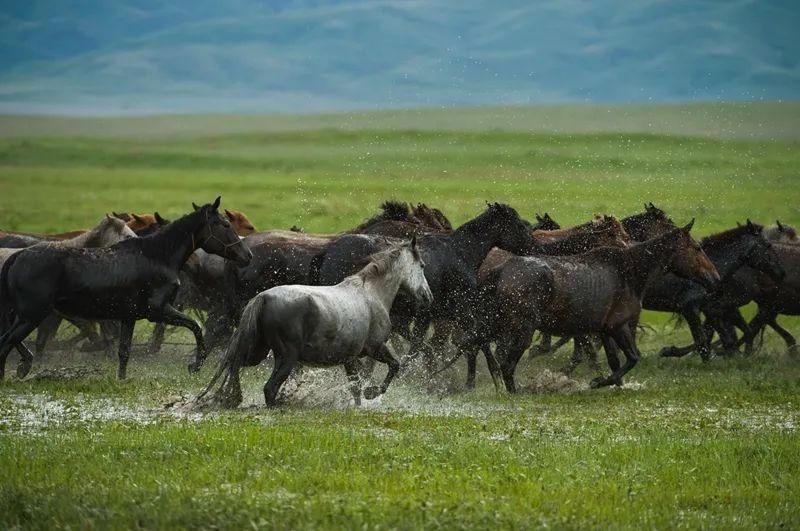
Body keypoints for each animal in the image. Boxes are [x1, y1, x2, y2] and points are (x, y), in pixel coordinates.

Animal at [0, 197, 250, 380]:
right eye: (225, 225)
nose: (247, 255)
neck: (158, 256)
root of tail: (17, 257)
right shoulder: (157, 311)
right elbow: (196, 327)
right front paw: (195, 365)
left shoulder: (129, 316)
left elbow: (124, 352)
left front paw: (121, 379)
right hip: (32, 315)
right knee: (6, 342)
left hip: (25, 315)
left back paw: (25, 365)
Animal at [195, 239, 432, 410]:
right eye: (421, 265)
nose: (428, 296)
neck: (371, 294)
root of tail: (263, 298)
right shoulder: (375, 348)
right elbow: (395, 365)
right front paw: (371, 393)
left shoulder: (350, 358)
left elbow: (355, 388)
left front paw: (358, 404)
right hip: (287, 357)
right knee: (269, 388)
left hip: (257, 353)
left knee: (235, 366)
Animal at [462, 218, 720, 392]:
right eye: (697, 248)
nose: (715, 278)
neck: (631, 271)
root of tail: (500, 271)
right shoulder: (618, 326)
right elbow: (632, 357)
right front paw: (598, 382)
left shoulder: (605, 329)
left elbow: (615, 360)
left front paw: (615, 384)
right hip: (521, 329)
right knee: (505, 362)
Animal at [648, 220, 788, 362]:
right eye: (768, 245)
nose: (782, 272)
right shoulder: (692, 308)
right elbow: (703, 341)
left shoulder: (715, 309)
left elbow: (731, 337)